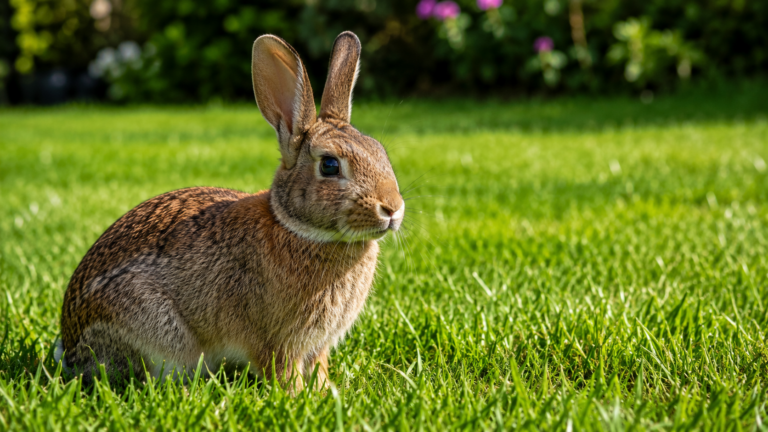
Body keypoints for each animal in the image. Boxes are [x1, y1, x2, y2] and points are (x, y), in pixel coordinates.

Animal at [54, 31, 405, 390]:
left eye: (379, 151)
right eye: (330, 165)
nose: (392, 208)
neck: (296, 227)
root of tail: (71, 349)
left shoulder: (316, 345)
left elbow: (318, 365)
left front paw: (325, 391)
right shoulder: (277, 342)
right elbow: (282, 371)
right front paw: (296, 395)